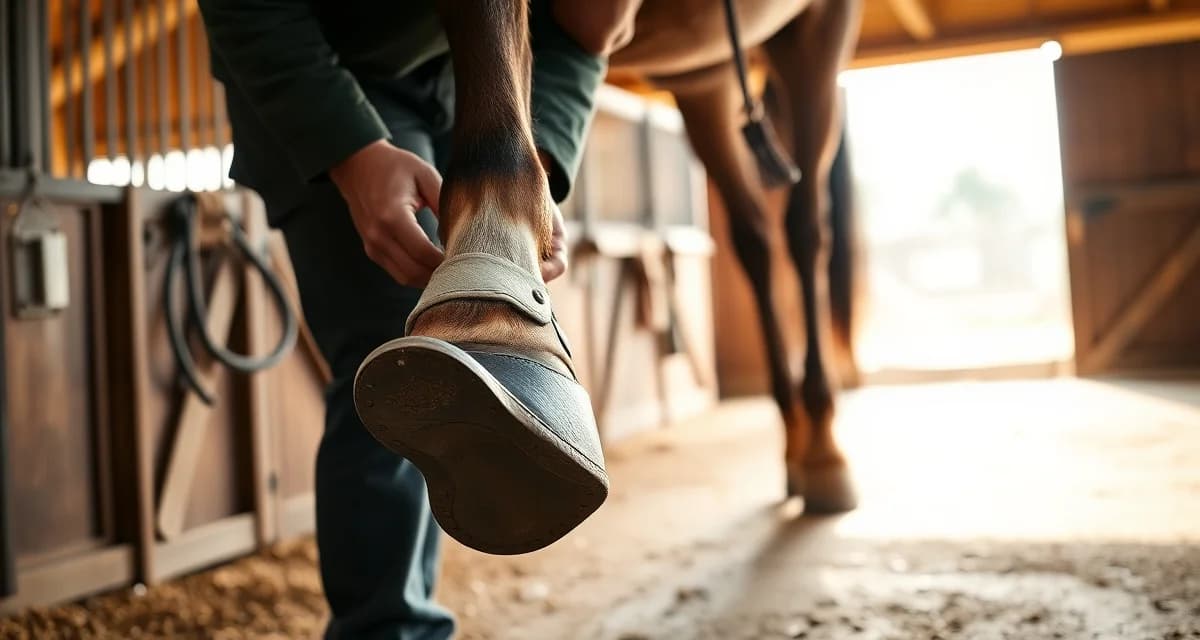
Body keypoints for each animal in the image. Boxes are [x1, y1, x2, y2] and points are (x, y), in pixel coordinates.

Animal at [420, 0, 863, 516]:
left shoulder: (825, 16)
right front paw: (476, 322)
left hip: (801, 35)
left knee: (804, 230)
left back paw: (821, 453)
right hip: (704, 77)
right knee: (756, 238)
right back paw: (796, 443)